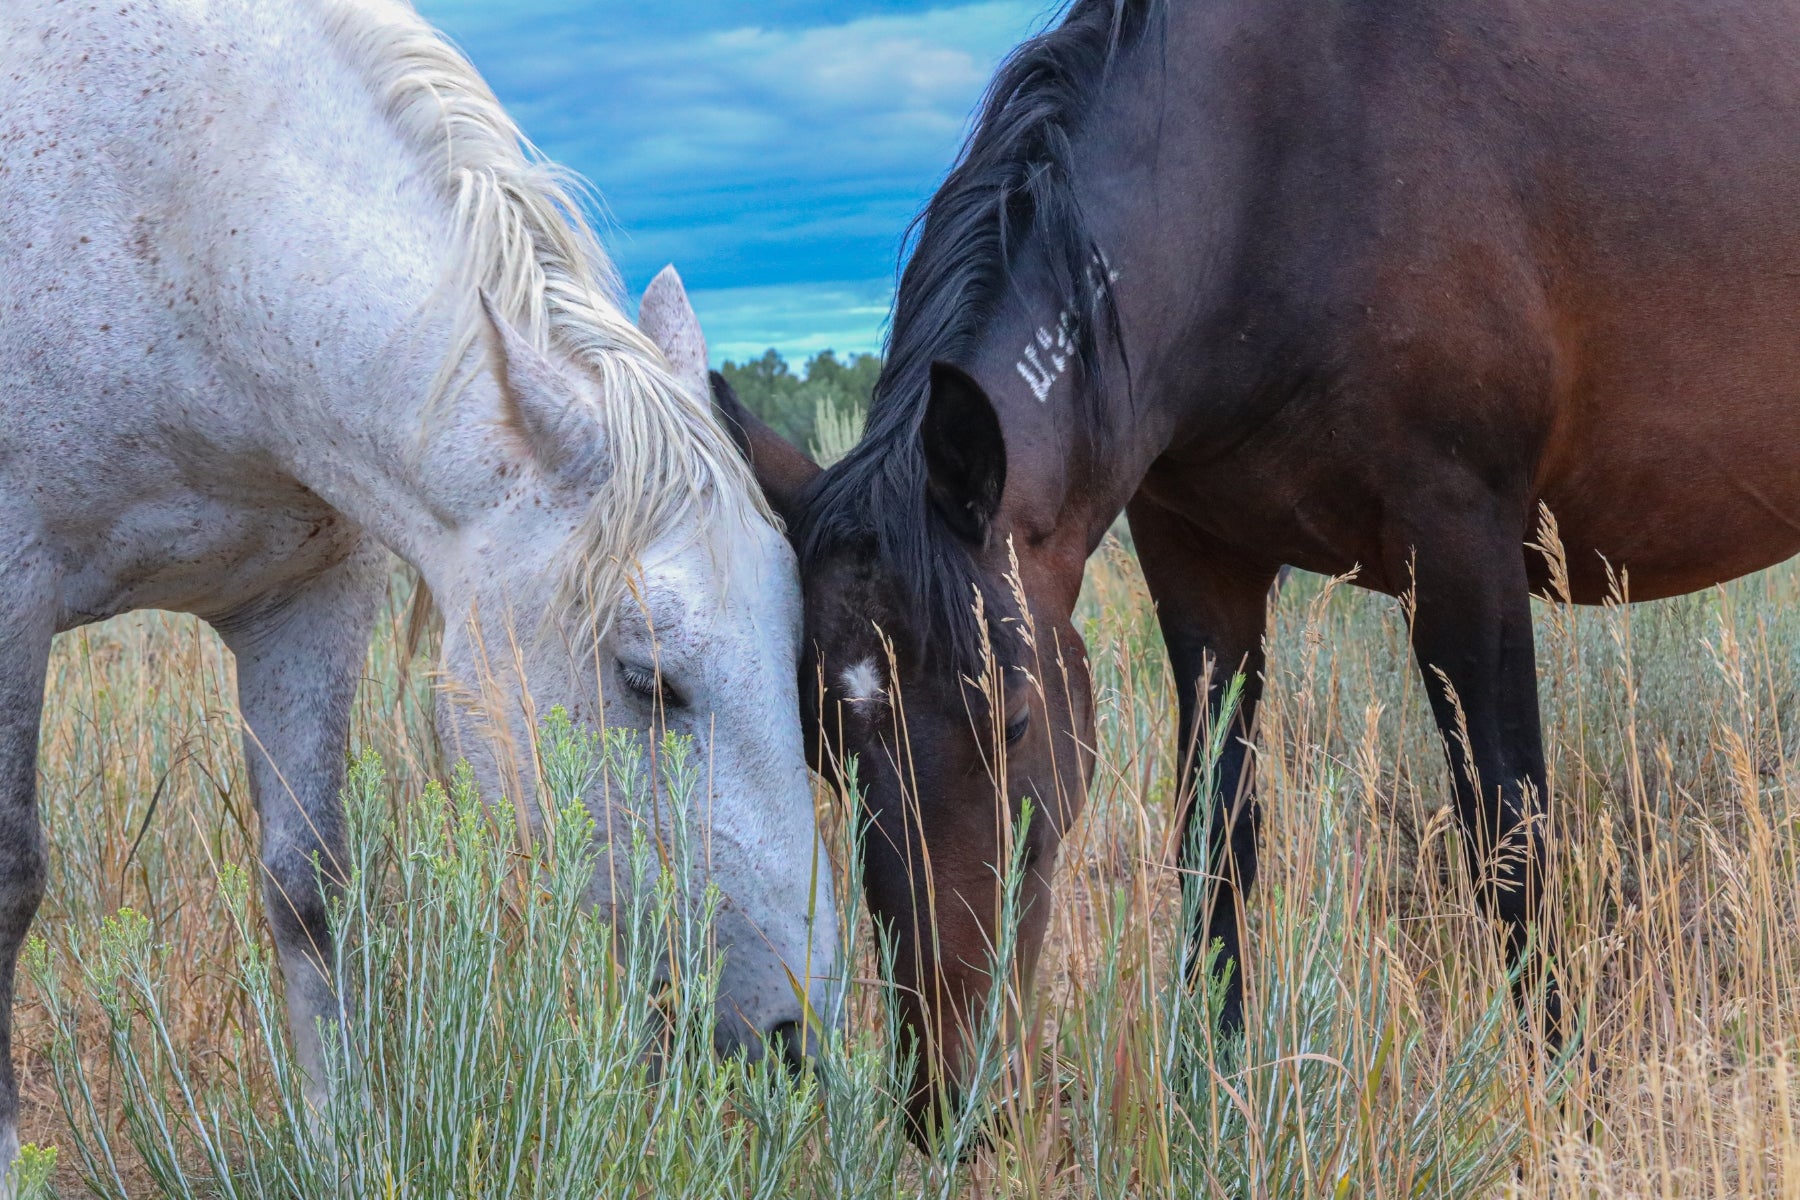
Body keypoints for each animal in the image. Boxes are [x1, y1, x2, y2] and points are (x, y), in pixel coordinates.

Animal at [0, 0, 842, 1173]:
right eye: (646, 679)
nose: (796, 1038)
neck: (183, 227)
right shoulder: (13, 600)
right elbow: (11, 886)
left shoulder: (305, 606)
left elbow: (307, 889)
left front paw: (339, 1141)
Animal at [709, 0, 1800, 1144]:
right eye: (826, 746)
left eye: (1010, 716)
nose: (942, 1104)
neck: (1270, 169)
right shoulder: (1198, 562)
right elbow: (1216, 835)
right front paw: (1215, 1090)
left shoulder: (1464, 549)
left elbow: (1509, 834)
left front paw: (1570, 1105)